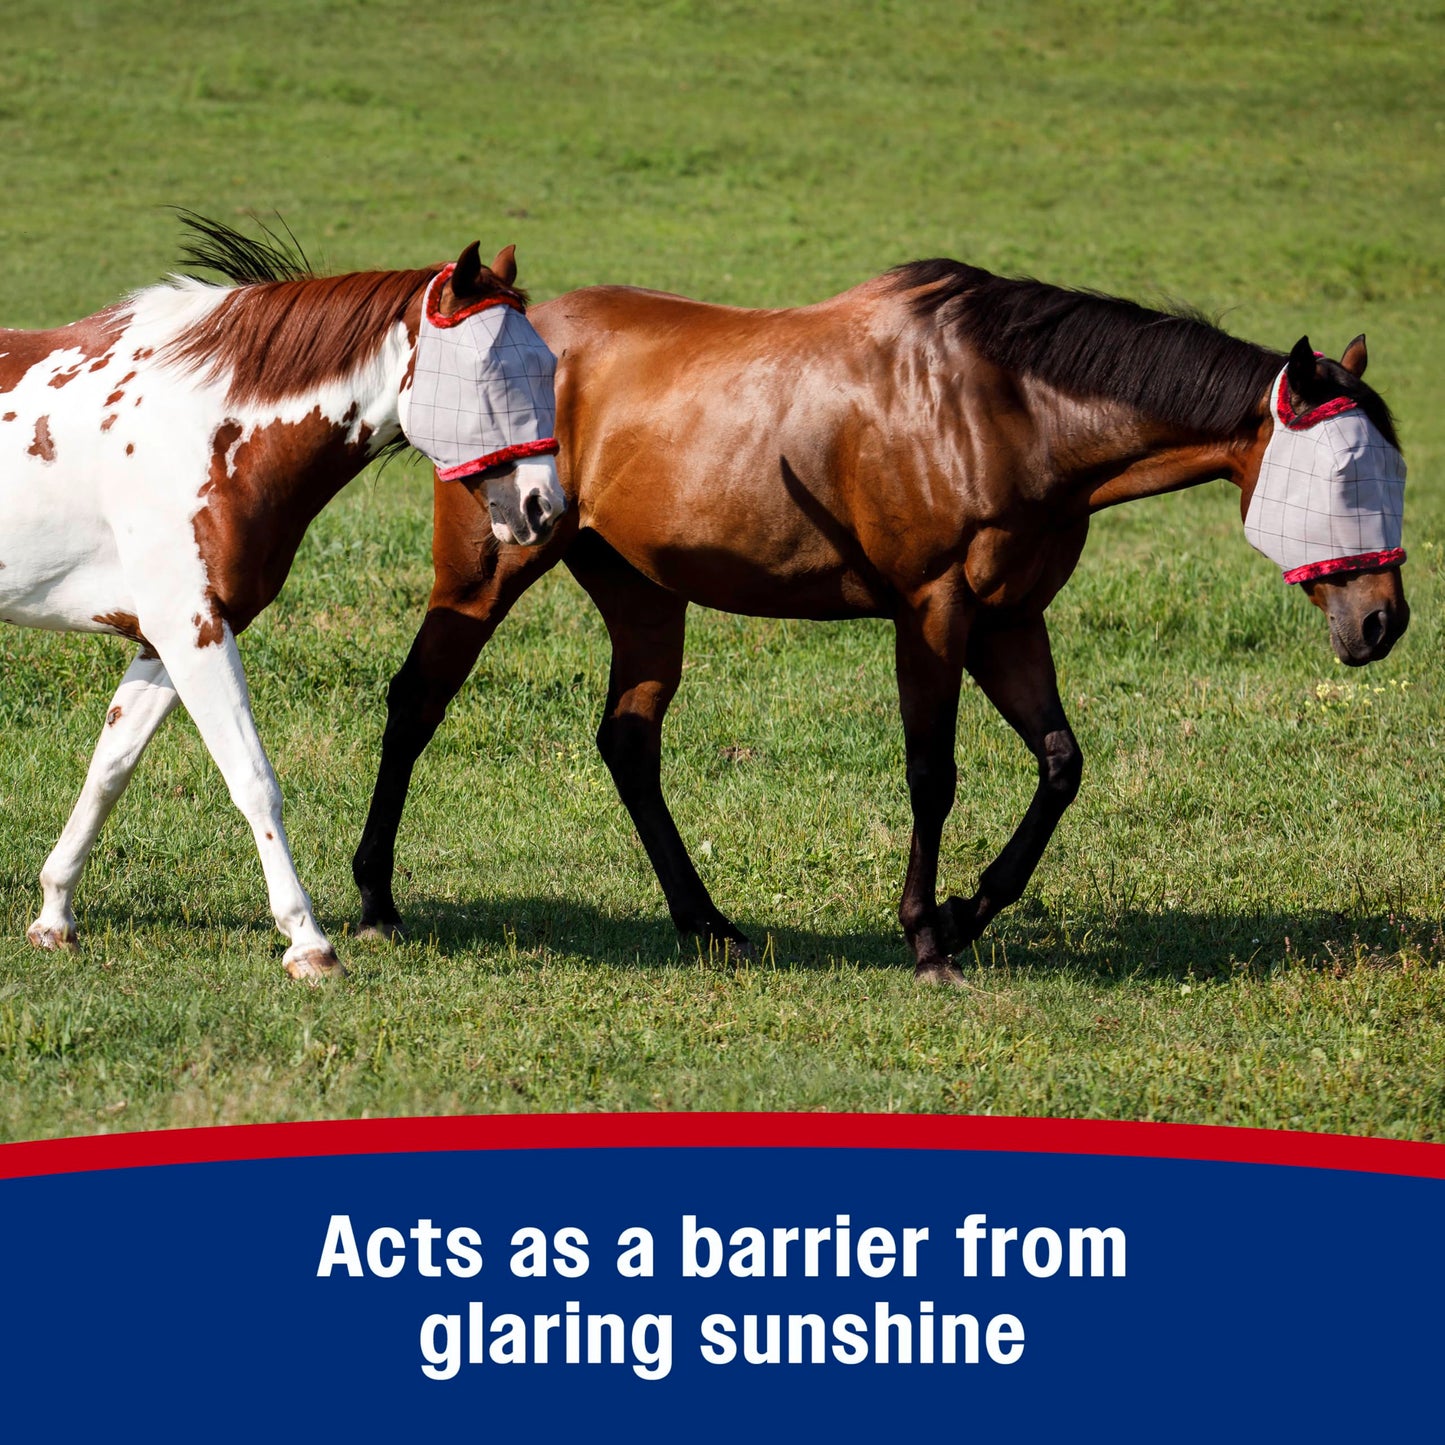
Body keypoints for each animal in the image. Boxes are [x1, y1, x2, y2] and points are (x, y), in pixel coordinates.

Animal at [0, 217, 565, 980]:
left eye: (548, 366)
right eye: (490, 372)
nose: (543, 507)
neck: (203, 427)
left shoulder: (167, 637)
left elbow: (109, 769)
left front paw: (54, 916)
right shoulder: (192, 631)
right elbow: (252, 778)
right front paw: (308, 941)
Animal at [350, 260, 1409, 984]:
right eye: (1345, 472)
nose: (1382, 622)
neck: (1004, 409)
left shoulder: (1010, 621)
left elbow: (1059, 763)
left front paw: (970, 908)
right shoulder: (932, 612)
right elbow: (932, 773)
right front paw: (926, 933)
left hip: (644, 594)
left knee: (627, 743)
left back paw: (707, 923)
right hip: (488, 569)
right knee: (417, 702)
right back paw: (376, 896)